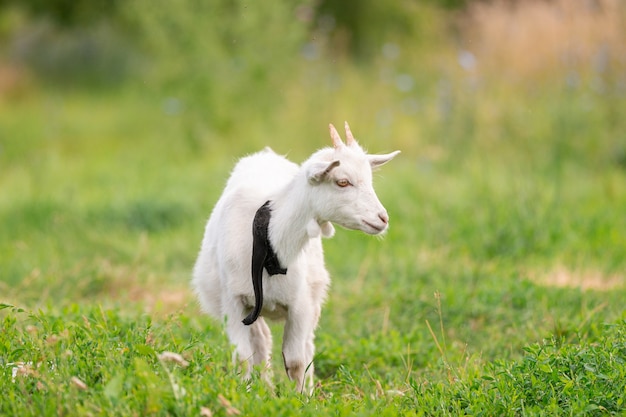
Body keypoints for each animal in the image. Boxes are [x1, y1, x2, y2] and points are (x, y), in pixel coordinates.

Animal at [190, 121, 398, 394]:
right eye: (342, 182)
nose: (382, 218)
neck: (269, 244)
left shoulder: (300, 304)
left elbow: (296, 360)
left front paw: (300, 397)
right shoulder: (232, 302)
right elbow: (243, 356)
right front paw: (243, 392)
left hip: (313, 297)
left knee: (305, 346)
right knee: (261, 341)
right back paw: (265, 388)